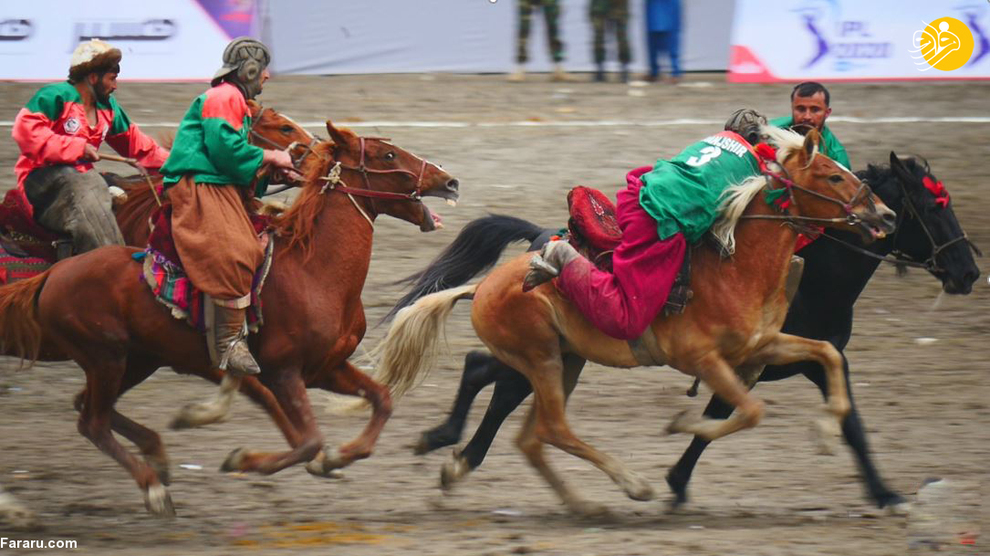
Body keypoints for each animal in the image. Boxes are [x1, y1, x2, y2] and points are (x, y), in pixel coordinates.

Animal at [0, 120, 460, 516]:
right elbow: (307, 439)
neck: (314, 269)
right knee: (92, 422)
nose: (449, 180)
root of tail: (52, 275)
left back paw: (157, 458)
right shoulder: (282, 372)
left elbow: (381, 401)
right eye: (387, 155)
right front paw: (246, 459)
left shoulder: (326, 367)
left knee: (87, 409)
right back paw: (153, 488)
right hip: (106, 358)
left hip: (135, 360)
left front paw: (335, 459)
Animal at [392, 152, 980, 512]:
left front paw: (834, 442)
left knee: (525, 426)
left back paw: (564, 496)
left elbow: (829, 378)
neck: (742, 266)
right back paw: (627, 484)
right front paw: (678, 449)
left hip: (564, 360)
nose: (969, 271)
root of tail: (490, 282)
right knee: (539, 420)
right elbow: (743, 411)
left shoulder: (766, 349)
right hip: (542, 360)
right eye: (931, 206)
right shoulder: (714, 362)